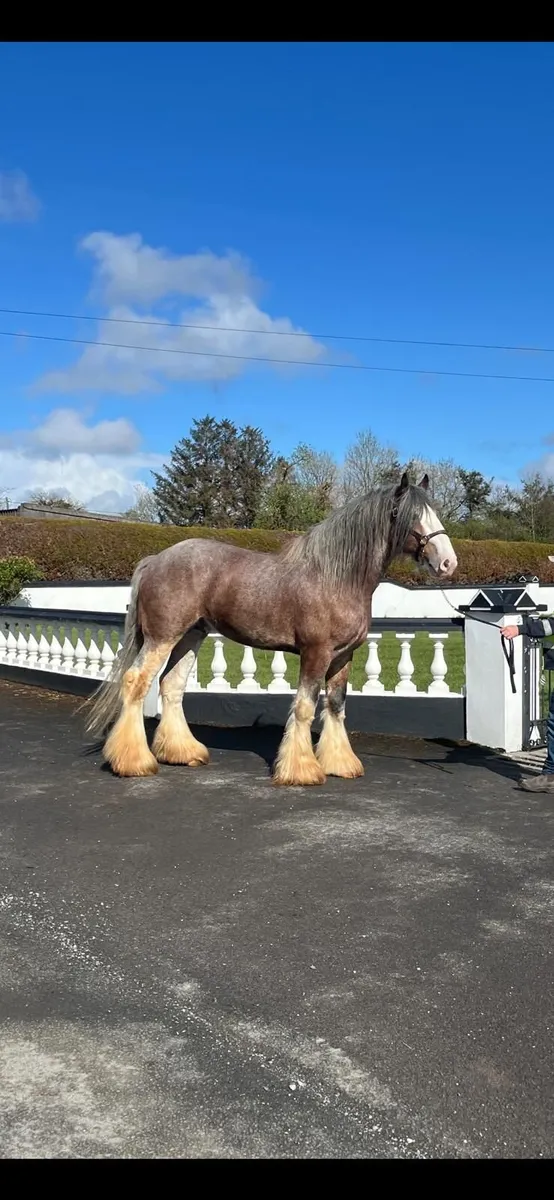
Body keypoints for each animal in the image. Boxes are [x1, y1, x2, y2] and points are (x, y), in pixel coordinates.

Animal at [84, 473, 458, 787]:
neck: (335, 578)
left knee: (171, 685)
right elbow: (305, 707)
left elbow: (336, 706)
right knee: (136, 682)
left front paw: (340, 763)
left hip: (191, 635)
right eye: (410, 515)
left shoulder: (343, 656)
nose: (448, 563)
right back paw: (134, 762)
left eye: (434, 513)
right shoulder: (316, 653)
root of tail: (155, 560)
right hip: (162, 637)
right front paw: (301, 770)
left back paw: (183, 753)